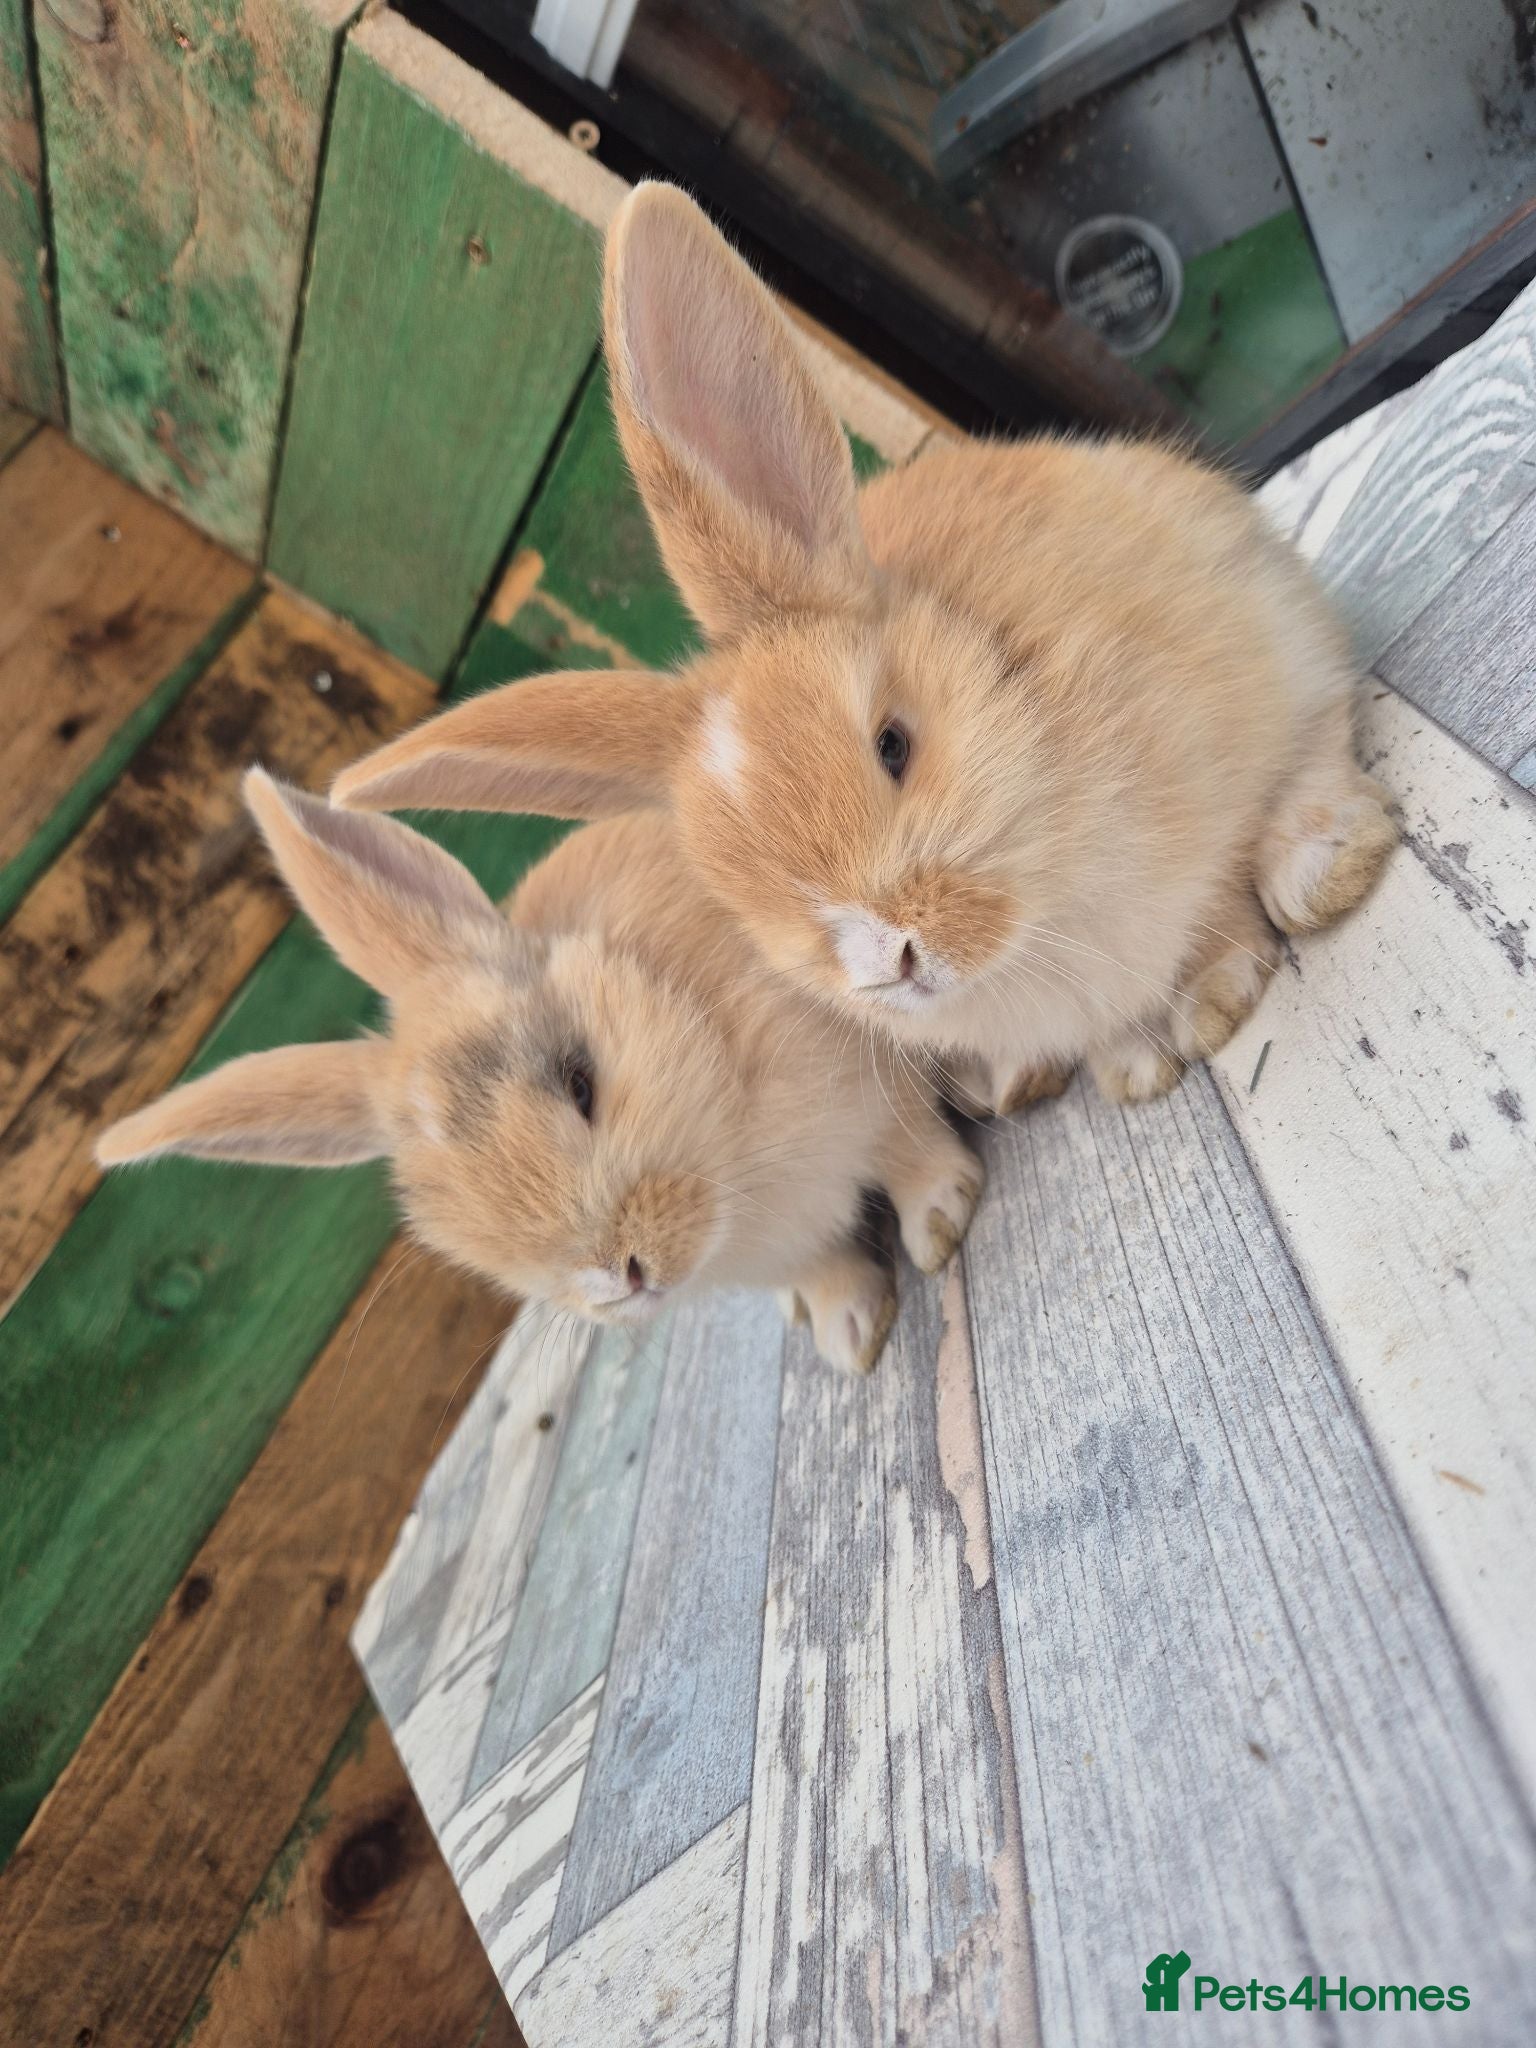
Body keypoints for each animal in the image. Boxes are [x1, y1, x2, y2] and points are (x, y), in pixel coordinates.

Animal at [96, 770, 983, 1377]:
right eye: (448, 1212)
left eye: (579, 1080)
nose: (618, 1277)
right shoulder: (784, 1248)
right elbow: (820, 1266)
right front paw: (850, 1335)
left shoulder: (871, 1081)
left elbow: (907, 1151)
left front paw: (944, 1219)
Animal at [326, 183, 1397, 1112]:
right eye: (735, 885)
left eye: (894, 746)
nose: (889, 963)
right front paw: (1136, 1064)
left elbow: (1239, 859)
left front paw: (1221, 990)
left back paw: (1317, 869)